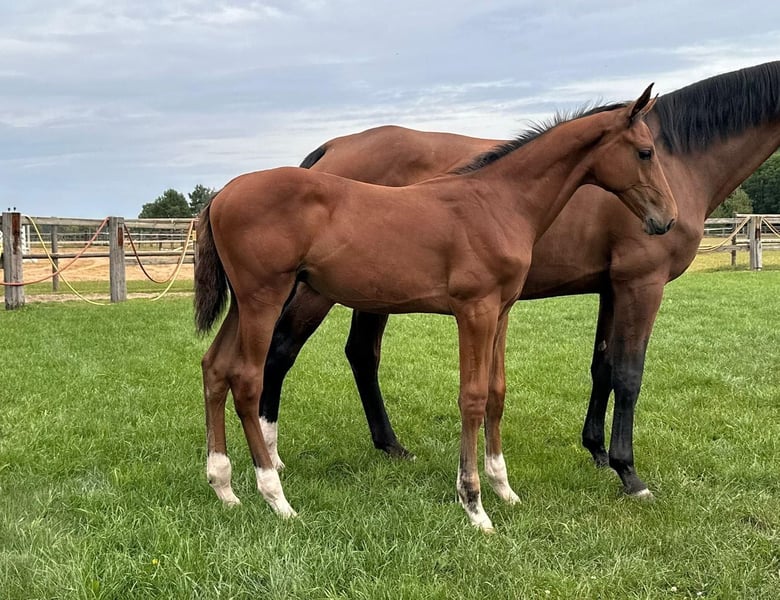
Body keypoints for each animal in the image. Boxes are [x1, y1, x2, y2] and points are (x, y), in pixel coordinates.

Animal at [194, 85, 676, 531]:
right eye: (646, 151)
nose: (666, 219)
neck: (499, 203)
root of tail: (222, 194)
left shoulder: (502, 311)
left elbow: (497, 392)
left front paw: (504, 489)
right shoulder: (474, 311)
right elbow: (472, 397)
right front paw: (474, 504)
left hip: (243, 305)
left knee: (215, 368)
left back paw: (224, 487)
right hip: (264, 298)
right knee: (247, 378)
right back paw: (275, 496)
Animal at [259, 60, 780, 500]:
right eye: (645, 152)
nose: (663, 220)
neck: (683, 159)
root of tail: (333, 148)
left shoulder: (611, 288)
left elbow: (603, 366)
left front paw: (596, 451)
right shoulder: (640, 284)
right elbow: (629, 374)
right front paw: (628, 472)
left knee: (361, 353)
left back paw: (390, 446)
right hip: (322, 291)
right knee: (282, 348)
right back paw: (273, 457)